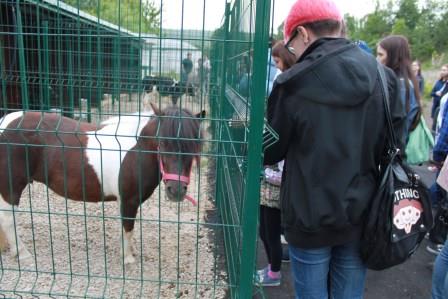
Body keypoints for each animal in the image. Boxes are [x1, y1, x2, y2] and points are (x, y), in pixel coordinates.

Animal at [0, 105, 205, 264]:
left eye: (194, 147)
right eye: (162, 143)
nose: (176, 190)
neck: (137, 148)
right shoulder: (128, 201)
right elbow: (128, 228)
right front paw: (128, 258)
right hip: (11, 187)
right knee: (8, 219)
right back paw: (22, 254)